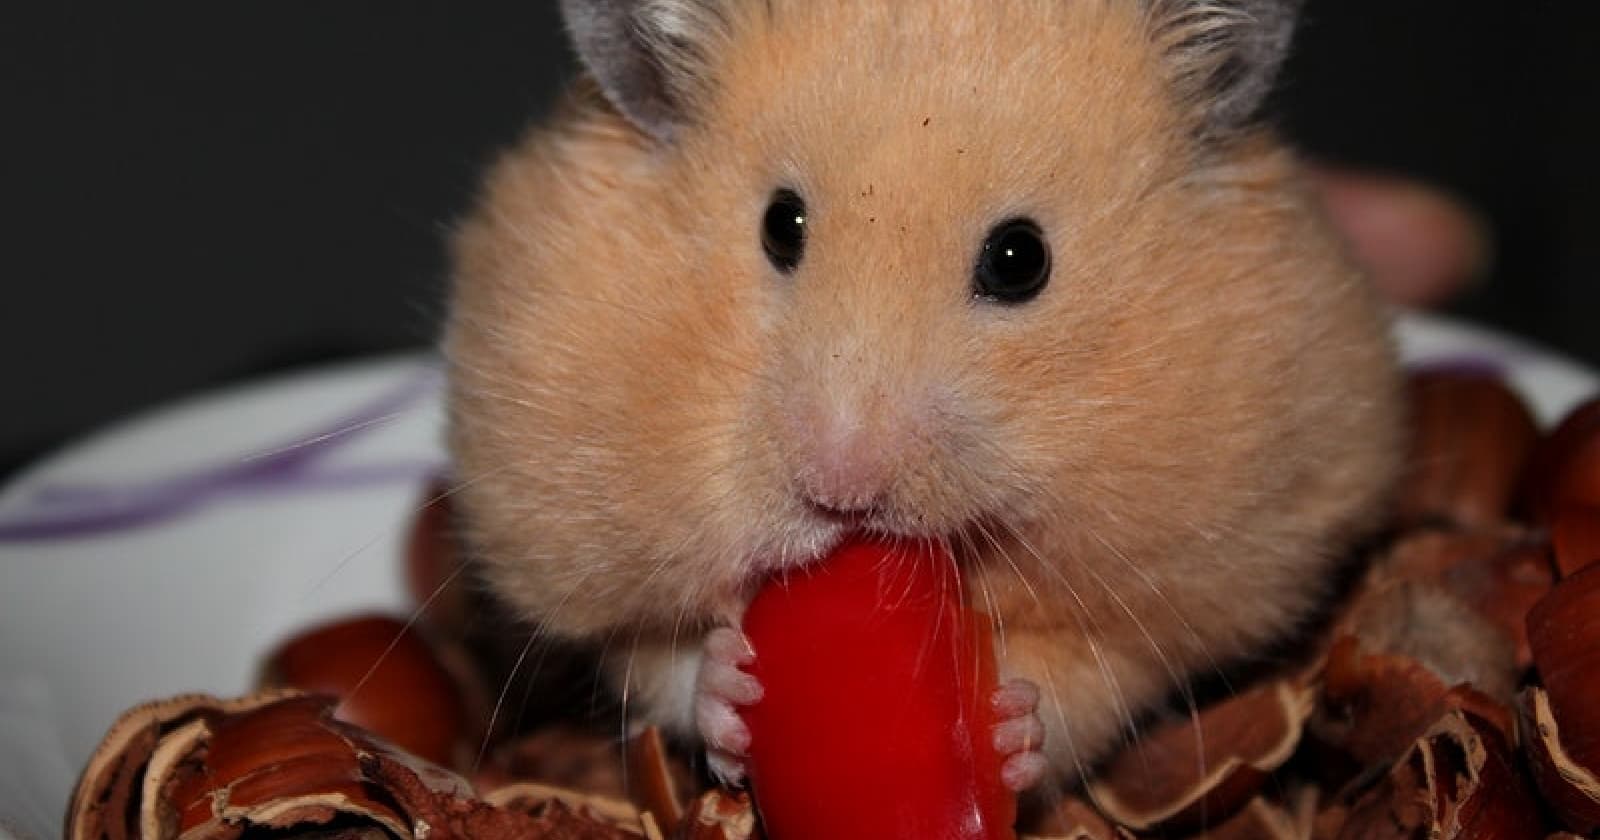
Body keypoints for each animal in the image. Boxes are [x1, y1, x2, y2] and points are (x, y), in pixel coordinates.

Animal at [443, 0, 1402, 794]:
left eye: (1020, 259)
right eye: (780, 224)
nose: (840, 492)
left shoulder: (1174, 587)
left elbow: (1091, 680)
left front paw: (1014, 727)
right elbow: (656, 657)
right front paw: (731, 684)